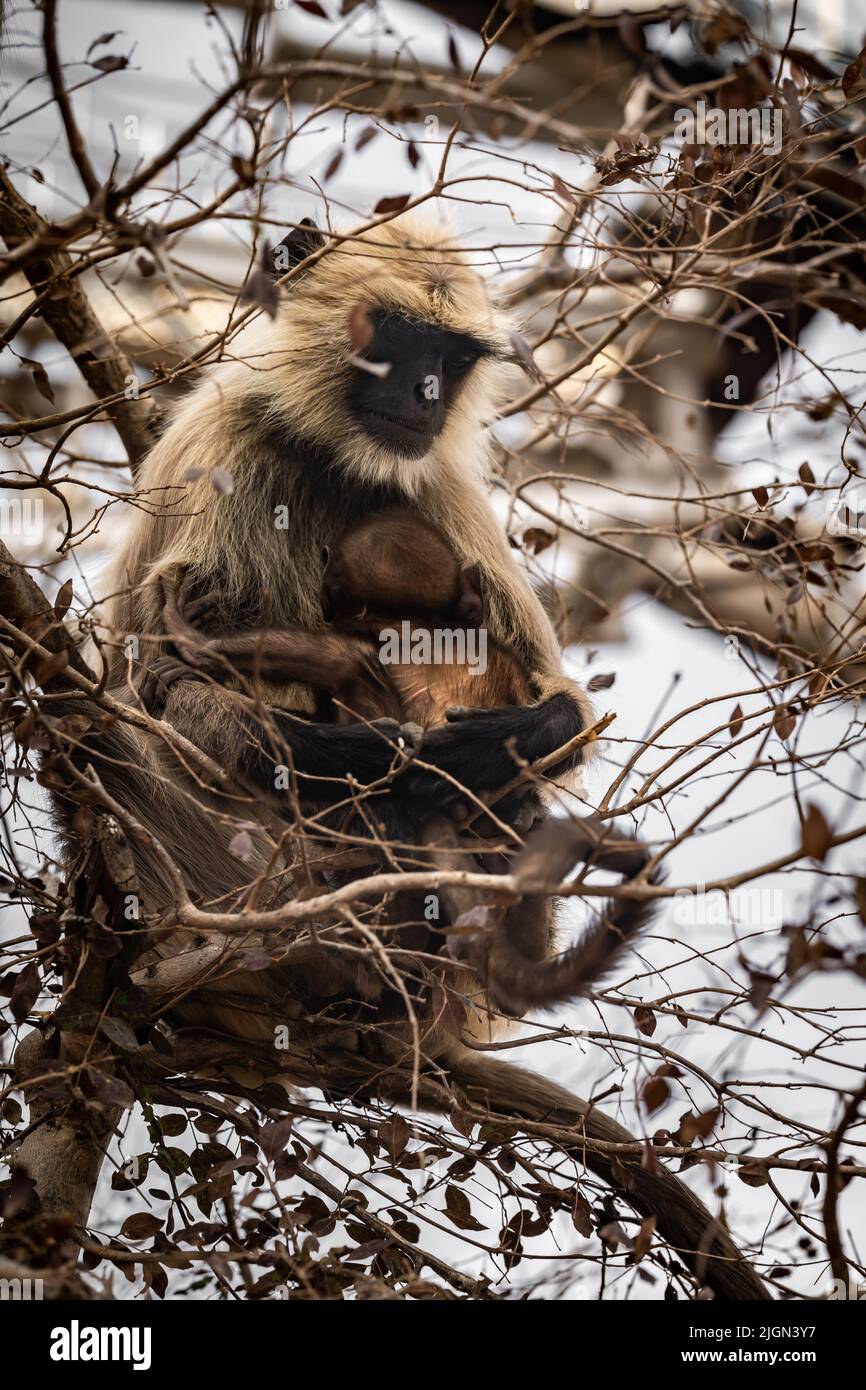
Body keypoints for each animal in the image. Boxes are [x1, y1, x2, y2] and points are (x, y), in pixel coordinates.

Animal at [76, 211, 767, 1295]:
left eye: (450, 358)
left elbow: (561, 712)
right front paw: (368, 741)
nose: (426, 395)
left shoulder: (436, 483)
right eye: (395, 343)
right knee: (136, 717)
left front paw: (494, 740)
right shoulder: (229, 445)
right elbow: (157, 673)